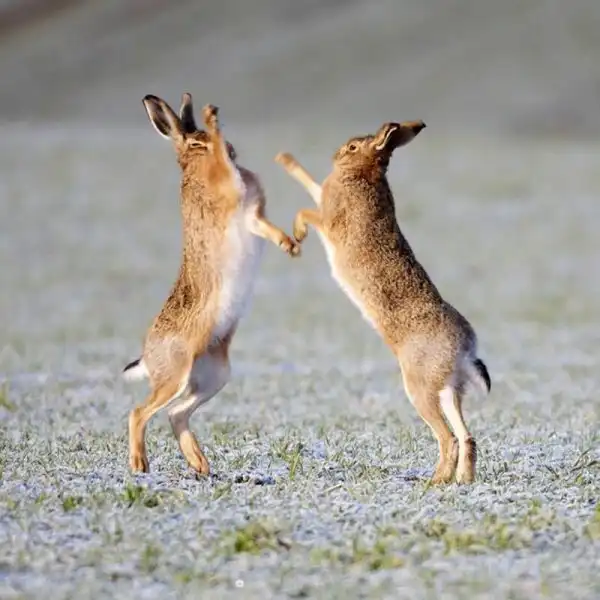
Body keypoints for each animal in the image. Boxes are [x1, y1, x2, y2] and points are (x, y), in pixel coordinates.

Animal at [122, 92, 300, 476]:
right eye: (194, 142)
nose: (232, 150)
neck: (193, 168)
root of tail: (148, 355)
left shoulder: (252, 214)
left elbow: (266, 226)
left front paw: (291, 246)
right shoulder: (231, 191)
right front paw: (214, 120)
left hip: (213, 376)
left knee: (175, 413)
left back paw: (200, 464)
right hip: (175, 374)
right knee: (140, 412)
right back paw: (140, 465)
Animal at [275, 121, 490, 485]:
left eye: (352, 148)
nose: (335, 155)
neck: (365, 173)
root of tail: (465, 346)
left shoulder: (330, 220)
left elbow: (308, 208)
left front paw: (297, 234)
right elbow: (311, 185)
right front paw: (284, 159)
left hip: (419, 387)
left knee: (447, 437)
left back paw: (435, 482)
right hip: (449, 388)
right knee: (467, 436)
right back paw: (461, 480)